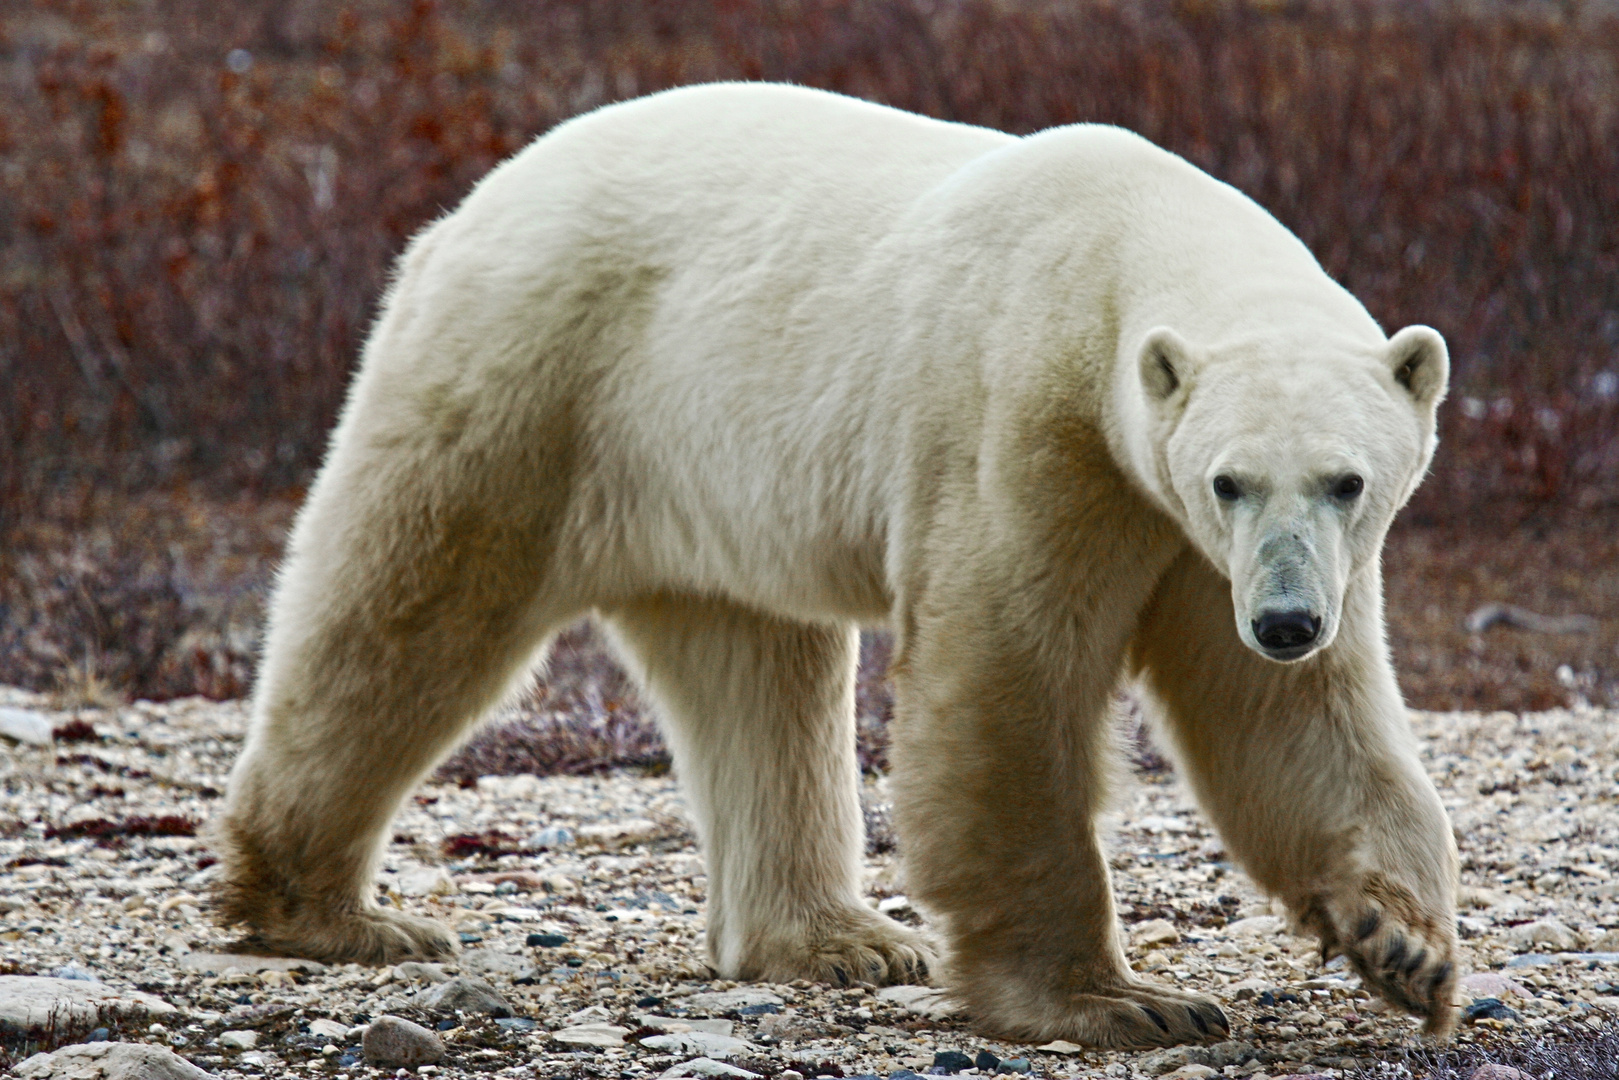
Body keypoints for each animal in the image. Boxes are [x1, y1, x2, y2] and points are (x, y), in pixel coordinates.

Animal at [208, 82, 1463, 1049]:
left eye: (1347, 481)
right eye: (1227, 479)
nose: (1289, 620)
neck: (1118, 248)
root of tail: (467, 204)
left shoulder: (1210, 550)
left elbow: (1279, 716)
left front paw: (1401, 945)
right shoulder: (1032, 425)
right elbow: (1007, 683)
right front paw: (1113, 1000)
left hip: (708, 474)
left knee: (754, 674)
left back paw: (834, 939)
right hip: (537, 375)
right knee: (411, 604)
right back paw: (326, 911)